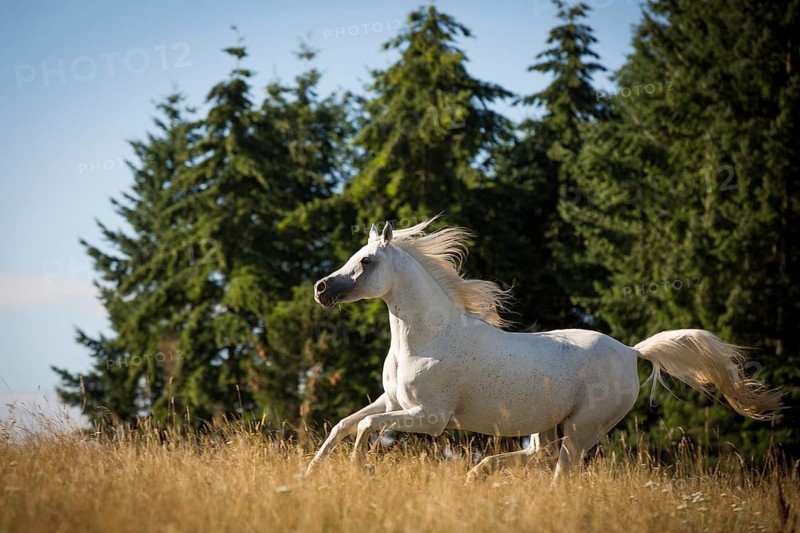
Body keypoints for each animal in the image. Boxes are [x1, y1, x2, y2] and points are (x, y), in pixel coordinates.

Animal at [306, 218, 781, 482]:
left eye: (367, 261)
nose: (321, 289)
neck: (427, 338)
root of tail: (632, 351)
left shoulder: (431, 418)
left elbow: (366, 429)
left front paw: (360, 468)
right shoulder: (393, 401)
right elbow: (344, 425)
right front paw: (312, 471)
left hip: (583, 428)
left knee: (561, 470)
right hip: (547, 423)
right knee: (540, 455)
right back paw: (478, 473)